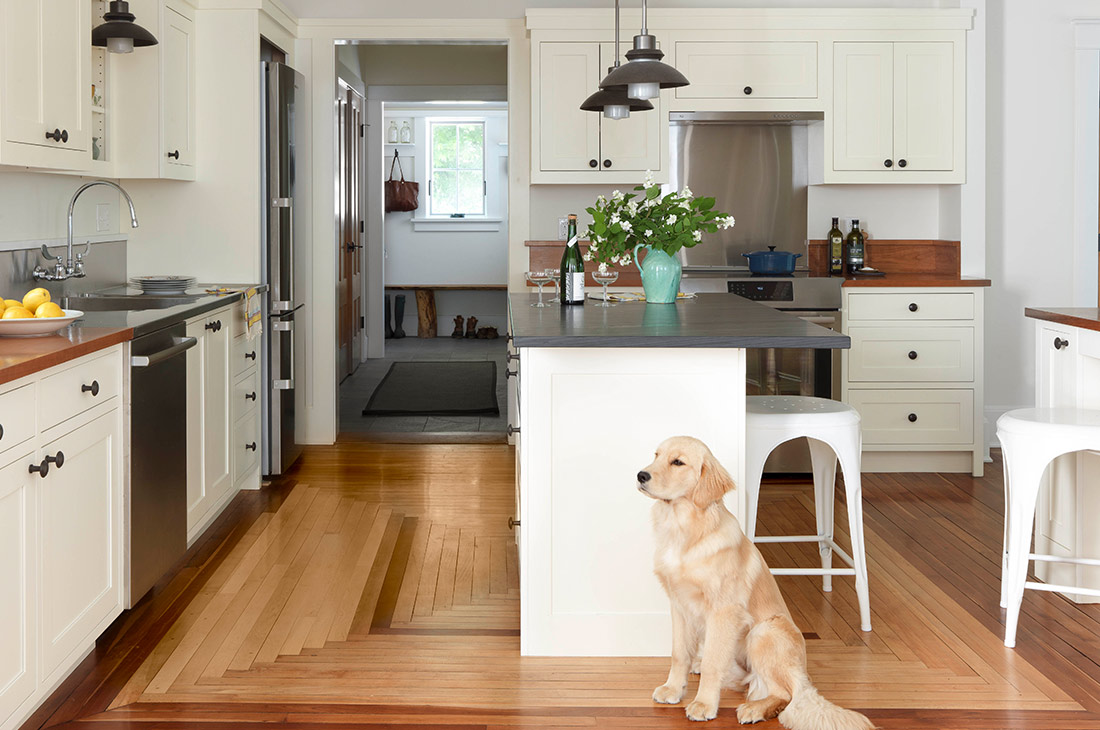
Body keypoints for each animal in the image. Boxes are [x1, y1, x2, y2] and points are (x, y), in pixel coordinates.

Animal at [642, 435, 871, 725]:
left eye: (678, 462)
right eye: (656, 455)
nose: (641, 475)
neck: (686, 532)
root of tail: (803, 675)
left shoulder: (723, 611)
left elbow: (713, 663)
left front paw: (704, 704)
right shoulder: (679, 605)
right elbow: (679, 653)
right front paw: (673, 689)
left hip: (763, 632)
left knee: (784, 694)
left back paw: (755, 709)